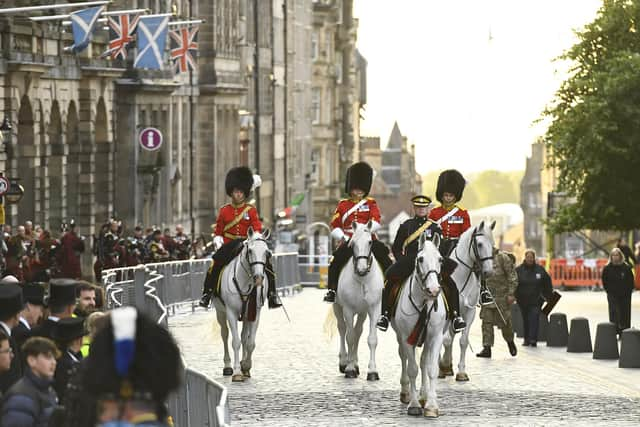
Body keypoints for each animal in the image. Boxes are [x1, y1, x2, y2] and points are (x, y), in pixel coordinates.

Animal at [210, 229, 270, 382]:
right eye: (250, 251)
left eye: (267, 252)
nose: (259, 278)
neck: (245, 282)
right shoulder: (231, 313)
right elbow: (235, 341)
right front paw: (237, 372)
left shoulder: (255, 313)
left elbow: (250, 342)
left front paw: (246, 366)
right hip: (220, 313)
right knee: (225, 334)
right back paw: (227, 366)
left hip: (246, 316)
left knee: (244, 337)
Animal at [332, 221, 382, 382]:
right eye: (352, 243)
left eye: (370, 242)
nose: (361, 269)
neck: (363, 280)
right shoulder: (348, 309)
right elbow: (350, 337)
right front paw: (349, 368)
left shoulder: (374, 309)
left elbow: (371, 339)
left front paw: (372, 371)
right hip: (337, 307)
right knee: (342, 329)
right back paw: (344, 361)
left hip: (362, 312)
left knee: (358, 331)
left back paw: (355, 362)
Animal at [390, 232, 444, 420]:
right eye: (420, 259)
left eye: (440, 259)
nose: (433, 290)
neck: (424, 302)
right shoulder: (407, 338)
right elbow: (412, 369)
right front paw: (413, 405)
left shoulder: (435, 337)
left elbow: (431, 368)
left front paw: (431, 405)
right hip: (400, 337)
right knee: (404, 358)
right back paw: (407, 393)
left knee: (424, 362)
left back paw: (424, 395)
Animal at [440, 221, 496, 382]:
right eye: (480, 244)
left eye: (493, 245)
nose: (489, 272)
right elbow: (445, 339)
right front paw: (442, 366)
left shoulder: (469, 312)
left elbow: (463, 341)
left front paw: (461, 372)